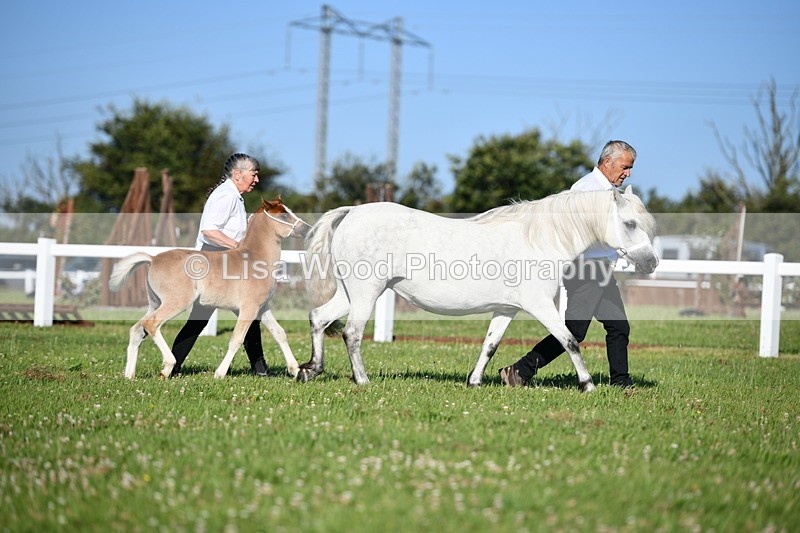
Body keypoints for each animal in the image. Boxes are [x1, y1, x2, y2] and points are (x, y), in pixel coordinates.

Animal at [108, 196, 311, 380]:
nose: (308, 229)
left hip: (155, 302)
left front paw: (295, 370)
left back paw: (129, 375)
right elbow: (237, 339)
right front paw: (220, 373)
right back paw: (168, 366)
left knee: (137, 329)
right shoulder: (248, 308)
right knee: (151, 324)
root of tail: (153, 258)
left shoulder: (261, 308)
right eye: (284, 215)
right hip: (177, 302)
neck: (254, 259)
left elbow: (279, 333)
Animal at [297, 186, 658, 391]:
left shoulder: (506, 309)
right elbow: (569, 340)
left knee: (319, 318)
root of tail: (352, 212)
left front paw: (475, 381)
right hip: (366, 292)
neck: (540, 240)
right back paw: (362, 380)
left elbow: (490, 345)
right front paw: (588, 385)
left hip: (352, 293)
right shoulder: (540, 304)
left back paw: (310, 370)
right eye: (629, 224)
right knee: (352, 333)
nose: (650, 262)